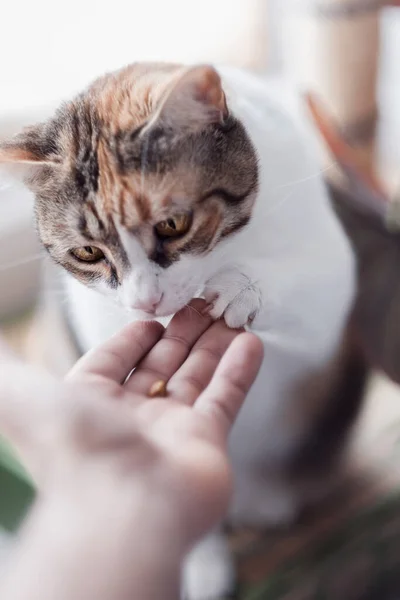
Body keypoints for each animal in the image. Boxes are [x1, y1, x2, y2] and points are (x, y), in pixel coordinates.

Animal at [0, 63, 356, 596]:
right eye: (87, 252)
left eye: (173, 224)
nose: (145, 300)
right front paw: (200, 562)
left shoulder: (333, 273)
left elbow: (311, 291)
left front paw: (241, 289)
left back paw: (266, 494)